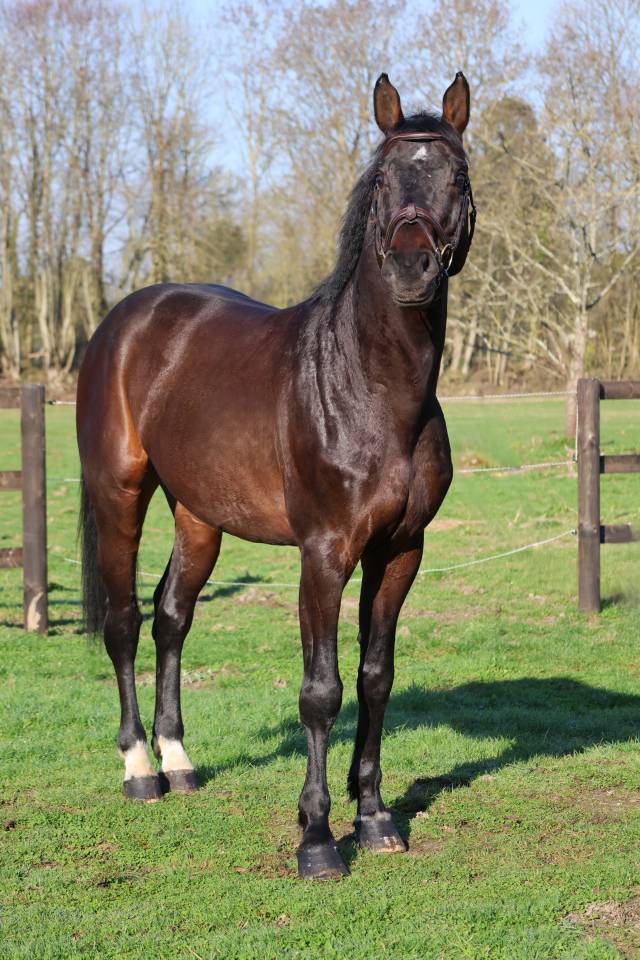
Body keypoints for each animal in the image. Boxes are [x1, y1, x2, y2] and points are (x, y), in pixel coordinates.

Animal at [77, 72, 475, 880]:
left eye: (456, 177)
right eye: (382, 179)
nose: (411, 267)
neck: (371, 389)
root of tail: (124, 321)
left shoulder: (401, 551)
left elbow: (375, 678)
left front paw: (376, 817)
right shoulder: (323, 553)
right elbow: (321, 691)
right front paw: (317, 839)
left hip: (199, 514)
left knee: (172, 617)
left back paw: (179, 760)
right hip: (120, 496)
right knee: (126, 621)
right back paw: (139, 770)